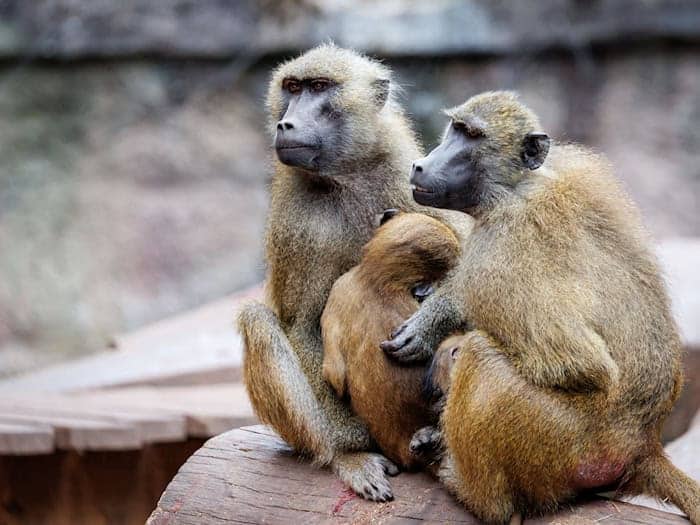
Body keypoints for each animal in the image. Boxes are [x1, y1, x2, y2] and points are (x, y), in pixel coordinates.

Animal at [379, 91, 699, 524]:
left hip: (567, 443)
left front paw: (434, 321)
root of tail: (643, 446)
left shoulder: (500, 251)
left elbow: (579, 364)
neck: (517, 187)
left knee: (478, 355)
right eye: (454, 128)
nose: (420, 164)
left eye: (470, 135)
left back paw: (467, 488)